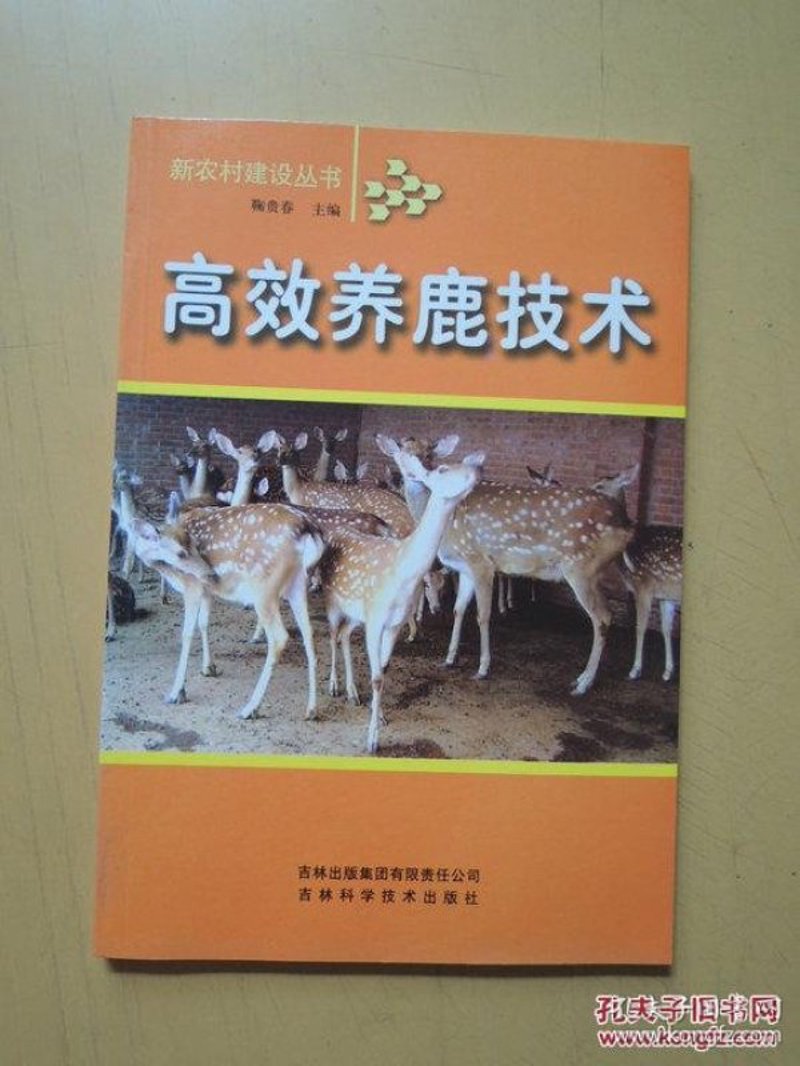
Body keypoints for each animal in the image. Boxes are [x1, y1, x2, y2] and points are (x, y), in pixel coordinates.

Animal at [129, 503, 325, 720]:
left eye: (195, 546)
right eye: (182, 552)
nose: (210, 573)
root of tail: (307, 529)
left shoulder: (192, 585)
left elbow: (187, 633)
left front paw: (176, 692)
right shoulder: (207, 590)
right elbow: (203, 623)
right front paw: (208, 668)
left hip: (264, 587)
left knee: (279, 636)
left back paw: (250, 708)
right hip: (298, 584)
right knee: (308, 633)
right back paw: (311, 710)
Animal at [320, 444, 483, 753]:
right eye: (442, 468)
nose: (478, 469)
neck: (402, 572)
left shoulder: (392, 623)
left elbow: (382, 671)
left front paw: (380, 717)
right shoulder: (376, 620)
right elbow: (375, 676)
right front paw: (371, 741)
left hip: (357, 614)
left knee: (345, 635)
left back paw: (352, 692)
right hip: (333, 600)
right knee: (332, 635)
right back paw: (334, 686)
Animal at [377, 434, 635, 695]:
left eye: (429, 454)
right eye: (402, 452)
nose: (416, 471)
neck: (449, 527)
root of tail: (626, 524)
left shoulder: (481, 561)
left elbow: (482, 615)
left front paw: (482, 668)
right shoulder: (465, 566)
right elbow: (459, 609)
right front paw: (449, 659)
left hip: (581, 568)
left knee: (602, 617)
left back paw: (583, 682)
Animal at [620, 525, 683, 681]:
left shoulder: (643, 588)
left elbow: (640, 628)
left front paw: (635, 669)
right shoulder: (665, 596)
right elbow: (666, 629)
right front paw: (668, 671)